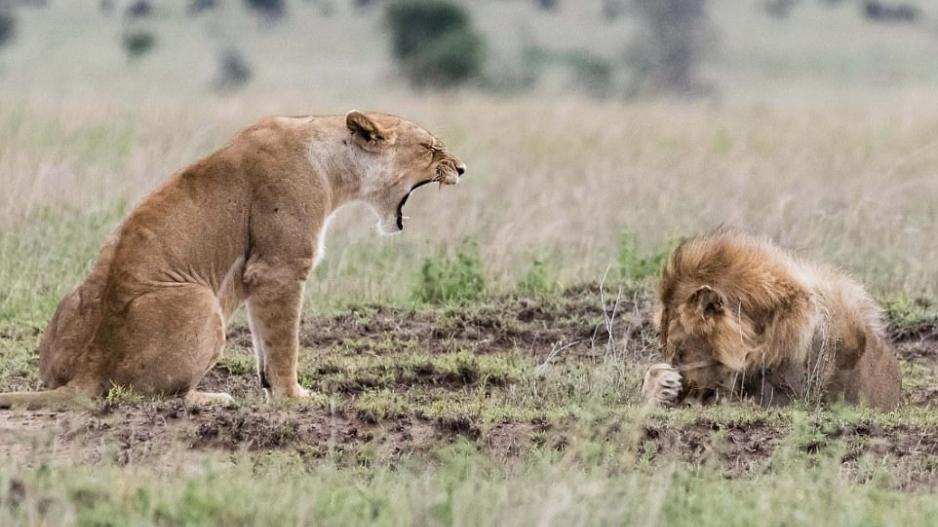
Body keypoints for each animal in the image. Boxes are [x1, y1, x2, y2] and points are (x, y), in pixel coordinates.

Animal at [0, 110, 464, 408]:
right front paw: (293, 397)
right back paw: (211, 397)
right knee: (146, 394)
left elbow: (266, 346)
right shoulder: (280, 267)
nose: (461, 168)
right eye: (430, 148)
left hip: (74, 303)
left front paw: (272, 389)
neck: (334, 165)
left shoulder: (263, 276)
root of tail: (89, 366)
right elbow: (284, 342)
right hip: (201, 301)